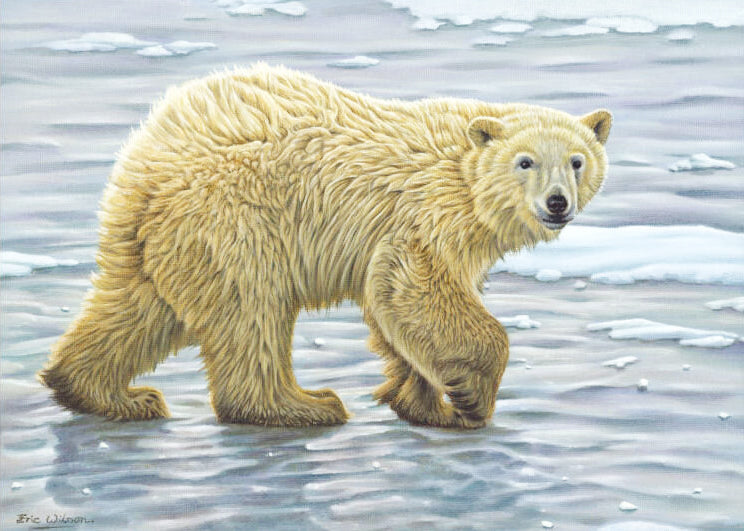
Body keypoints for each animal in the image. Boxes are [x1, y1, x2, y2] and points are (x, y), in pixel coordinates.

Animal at [39, 63, 611, 428]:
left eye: (577, 160)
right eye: (526, 161)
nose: (558, 203)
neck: (464, 179)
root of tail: (146, 158)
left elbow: (395, 310)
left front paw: (425, 404)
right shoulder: (426, 212)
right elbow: (414, 287)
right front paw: (470, 400)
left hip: (160, 236)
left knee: (138, 307)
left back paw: (105, 394)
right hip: (235, 216)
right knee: (252, 309)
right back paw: (304, 406)